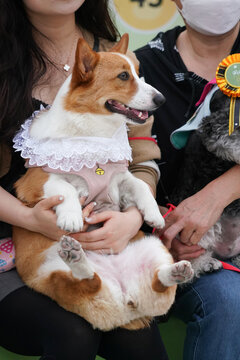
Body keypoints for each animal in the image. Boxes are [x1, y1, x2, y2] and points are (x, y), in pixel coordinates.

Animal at [12, 35, 193, 330]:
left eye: (139, 73)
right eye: (123, 76)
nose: (161, 99)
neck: (94, 135)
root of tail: (125, 303)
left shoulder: (120, 178)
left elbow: (140, 186)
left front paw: (153, 215)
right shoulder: (35, 179)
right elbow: (64, 187)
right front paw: (72, 217)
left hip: (153, 248)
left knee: (158, 285)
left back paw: (177, 271)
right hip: (50, 272)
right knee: (85, 282)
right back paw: (77, 257)